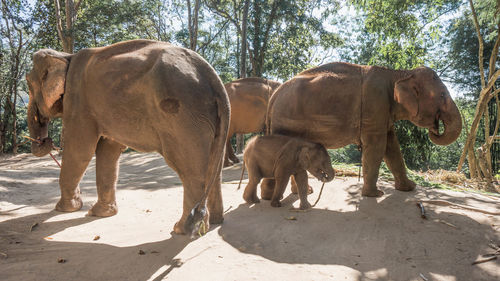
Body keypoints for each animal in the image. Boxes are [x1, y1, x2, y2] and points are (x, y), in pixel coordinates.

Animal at [25, 38, 230, 233]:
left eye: (28, 83)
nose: (45, 141)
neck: (66, 56)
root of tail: (213, 77)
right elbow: (108, 152)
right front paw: (100, 213)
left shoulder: (78, 99)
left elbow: (80, 151)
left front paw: (64, 209)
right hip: (206, 116)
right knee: (215, 166)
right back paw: (214, 222)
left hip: (182, 115)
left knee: (189, 169)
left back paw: (183, 229)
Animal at [266, 61, 460, 197]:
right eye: (442, 95)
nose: (435, 128)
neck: (398, 73)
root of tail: (274, 96)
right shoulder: (374, 105)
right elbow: (377, 147)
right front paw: (375, 195)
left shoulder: (383, 113)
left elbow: (392, 147)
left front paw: (409, 187)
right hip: (286, 123)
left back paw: (303, 192)